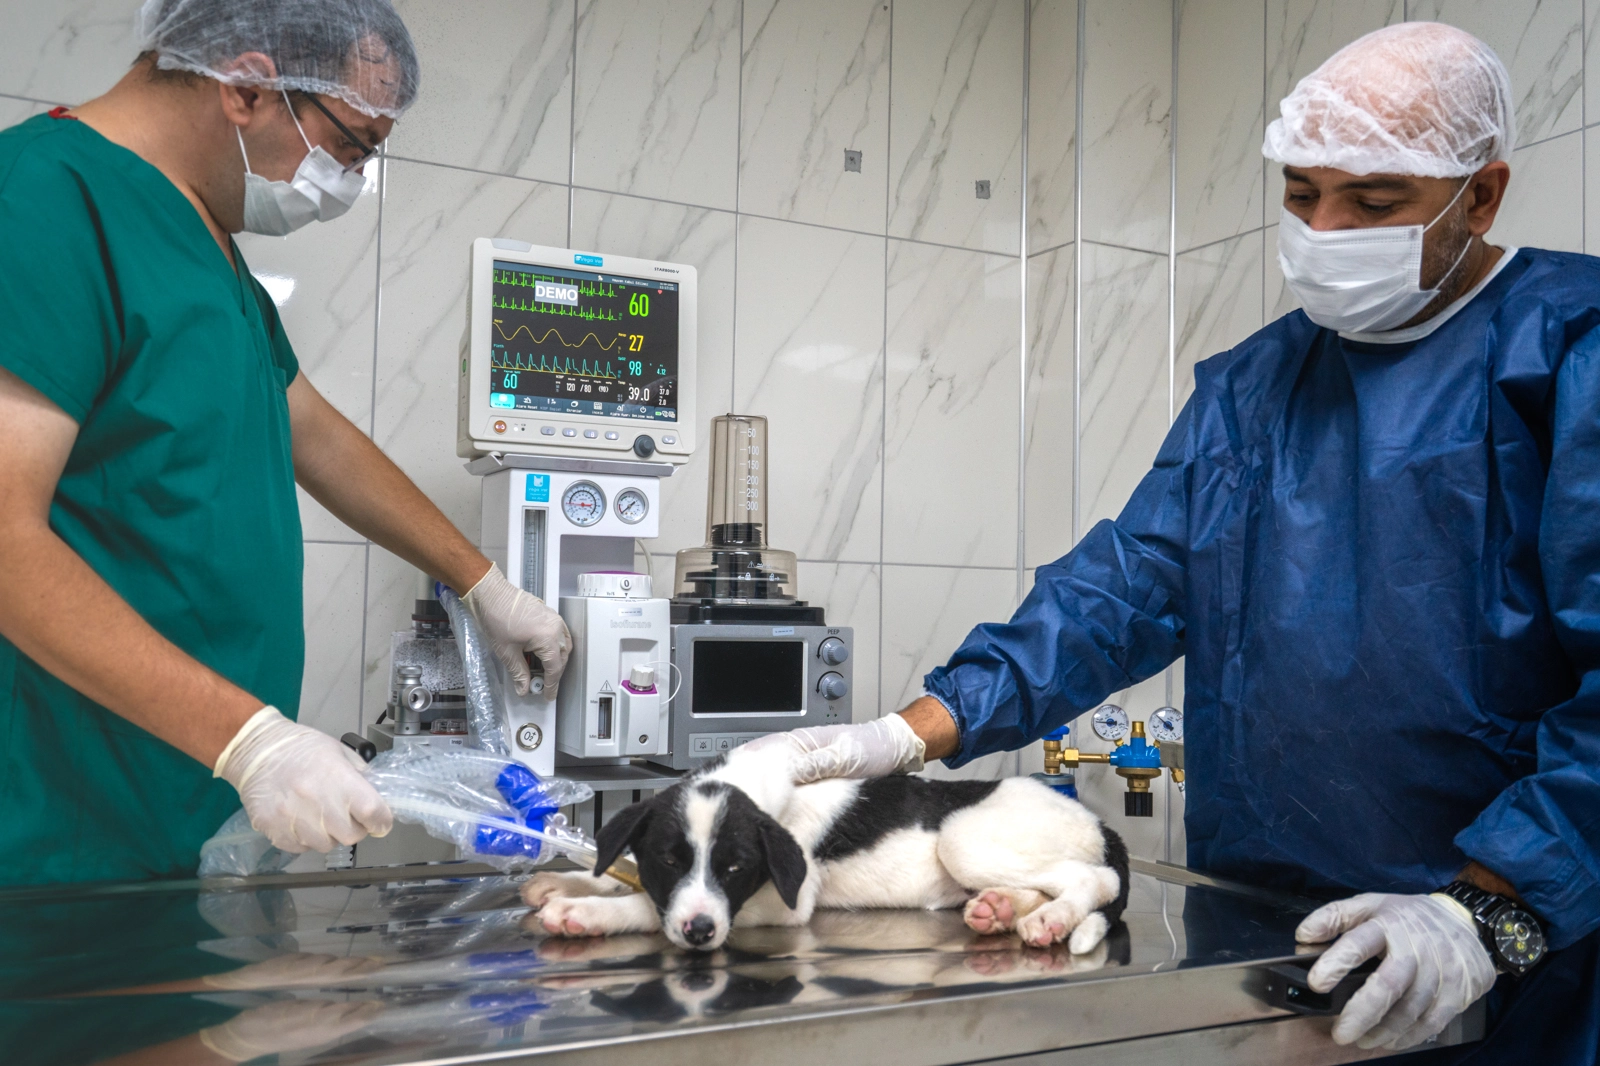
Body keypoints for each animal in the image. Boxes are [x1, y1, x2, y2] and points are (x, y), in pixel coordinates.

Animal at [524, 739, 1126, 953]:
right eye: (668, 860)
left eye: (737, 868)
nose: (700, 934)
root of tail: (1100, 824)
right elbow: (625, 872)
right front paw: (563, 881)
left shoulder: (781, 902)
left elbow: (648, 906)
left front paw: (585, 913)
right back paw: (1001, 909)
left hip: (964, 840)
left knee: (1094, 880)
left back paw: (1051, 919)